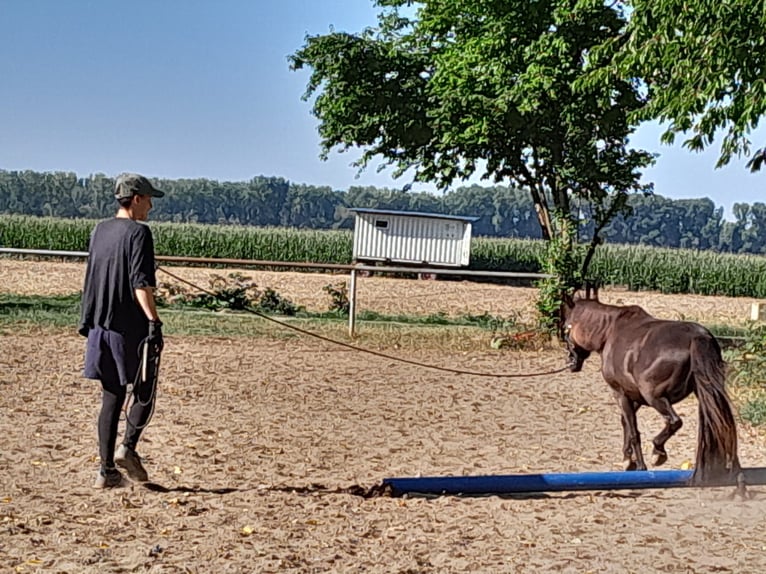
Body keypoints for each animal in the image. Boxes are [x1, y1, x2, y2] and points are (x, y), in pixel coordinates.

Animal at [562, 290, 740, 485]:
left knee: (674, 421)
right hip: (706, 395)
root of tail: (697, 337)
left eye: (565, 329)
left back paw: (658, 451)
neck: (610, 332)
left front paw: (639, 465)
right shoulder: (635, 396)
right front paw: (628, 459)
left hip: (655, 397)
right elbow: (626, 422)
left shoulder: (621, 394)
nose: (570, 362)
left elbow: (633, 430)